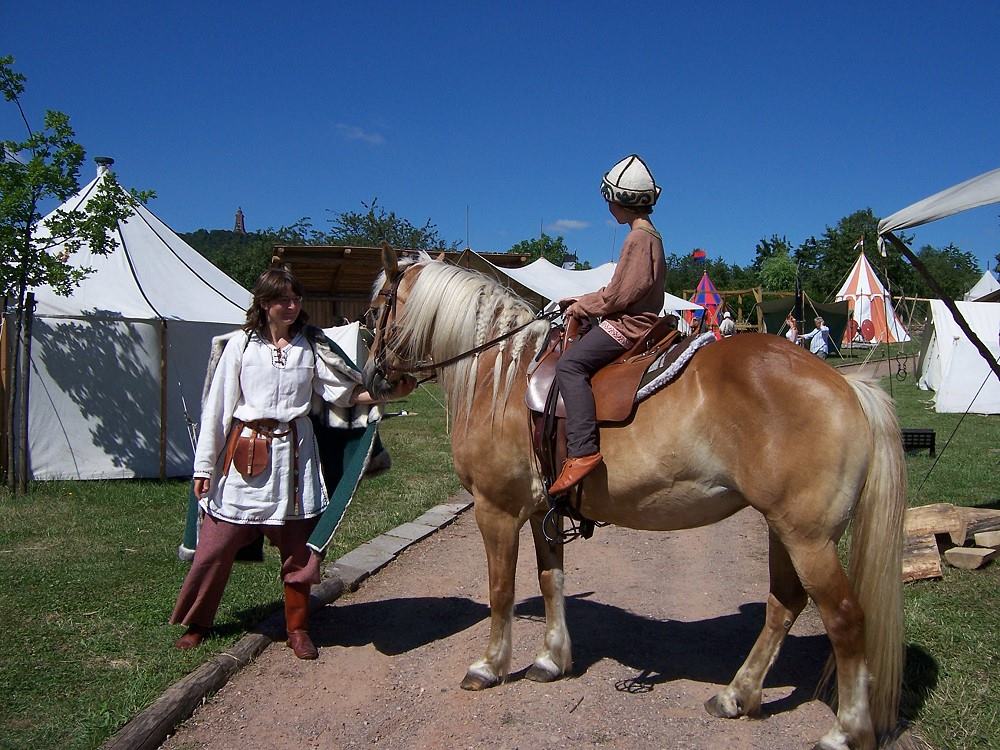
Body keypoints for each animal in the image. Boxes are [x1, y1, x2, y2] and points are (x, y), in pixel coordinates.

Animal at [366, 248, 908, 750]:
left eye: (374, 312)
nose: (374, 379)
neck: (504, 376)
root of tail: (845, 385)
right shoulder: (543, 511)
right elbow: (550, 581)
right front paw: (550, 659)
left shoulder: (495, 510)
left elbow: (501, 590)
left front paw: (490, 666)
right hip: (785, 530)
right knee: (784, 604)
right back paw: (737, 694)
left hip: (809, 539)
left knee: (844, 618)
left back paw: (845, 730)